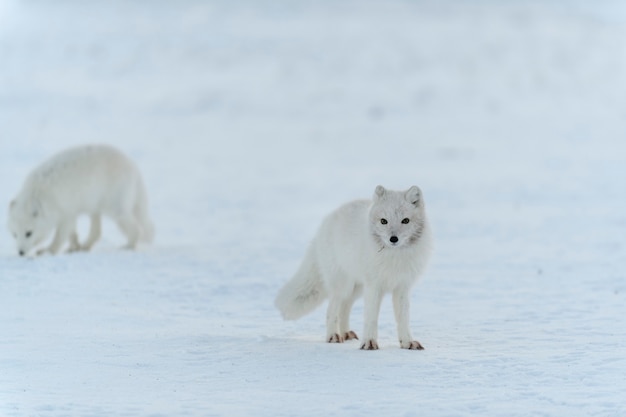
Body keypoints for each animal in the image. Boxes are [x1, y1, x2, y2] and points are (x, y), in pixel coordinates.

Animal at [7, 145, 155, 256]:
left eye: (28, 233)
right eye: (14, 234)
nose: (20, 253)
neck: (40, 194)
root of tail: (133, 167)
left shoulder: (66, 214)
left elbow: (59, 237)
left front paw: (48, 251)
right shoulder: (71, 213)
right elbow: (72, 234)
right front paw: (74, 247)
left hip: (115, 210)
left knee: (136, 229)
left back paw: (128, 247)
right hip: (94, 208)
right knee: (97, 232)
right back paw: (85, 247)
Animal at [276, 184, 432, 348]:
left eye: (405, 220)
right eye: (384, 221)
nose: (393, 239)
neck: (394, 258)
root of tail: (327, 221)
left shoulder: (402, 287)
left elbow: (403, 318)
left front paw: (407, 343)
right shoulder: (374, 286)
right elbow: (371, 317)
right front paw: (369, 342)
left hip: (356, 288)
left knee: (344, 307)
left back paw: (345, 333)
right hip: (343, 285)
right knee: (332, 310)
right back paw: (333, 336)